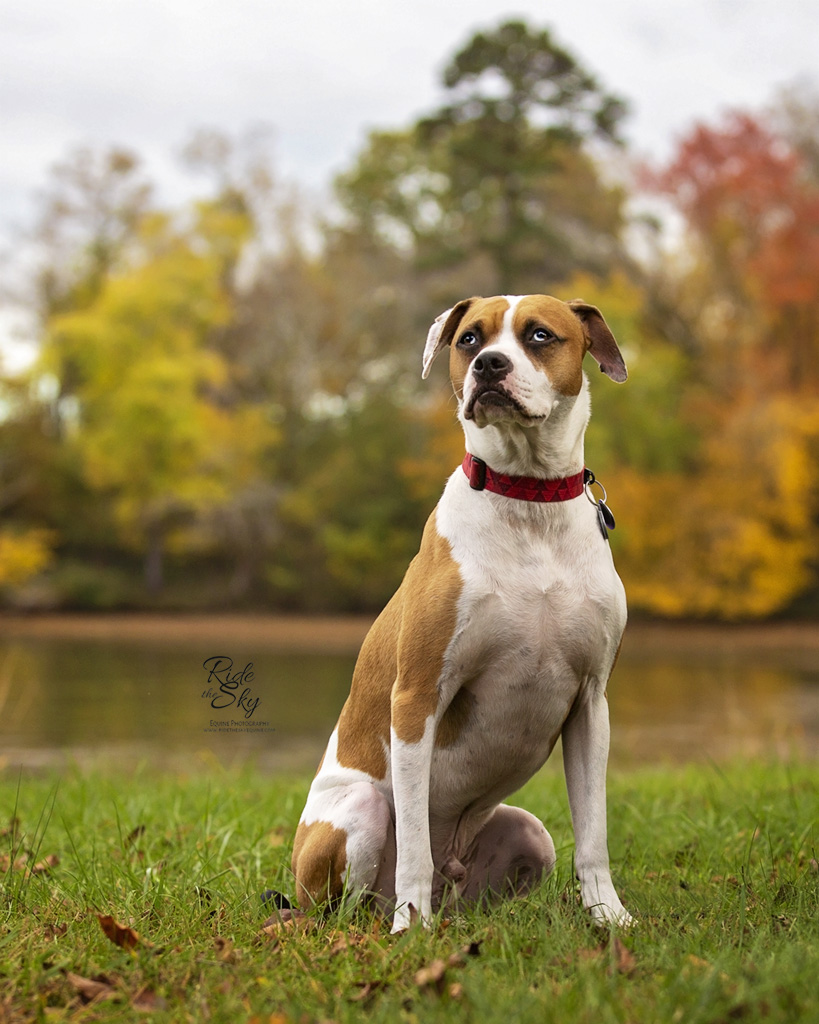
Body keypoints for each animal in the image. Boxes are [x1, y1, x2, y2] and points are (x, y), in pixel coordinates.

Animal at [290, 292, 630, 933]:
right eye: (469, 338)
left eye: (540, 335)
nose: (489, 365)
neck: (528, 499)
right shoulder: (417, 696)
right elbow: (413, 844)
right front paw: (410, 928)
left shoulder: (591, 704)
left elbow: (594, 833)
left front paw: (608, 916)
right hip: (358, 815)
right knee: (351, 900)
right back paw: (394, 918)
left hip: (529, 833)